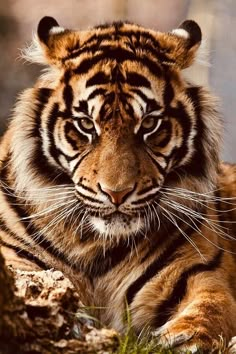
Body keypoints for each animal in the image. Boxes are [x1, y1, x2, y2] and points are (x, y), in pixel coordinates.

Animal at [0, 15, 236, 352]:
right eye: (86, 125)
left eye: (149, 124)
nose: (117, 193)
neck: (95, 244)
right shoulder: (17, 262)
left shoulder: (200, 272)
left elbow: (211, 308)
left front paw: (182, 339)